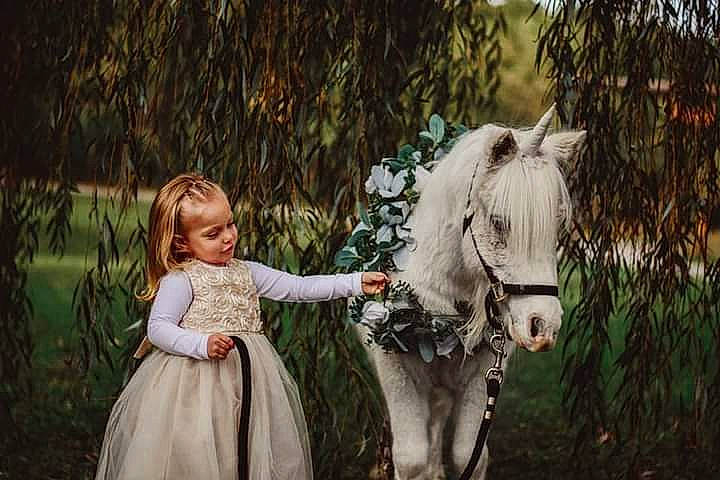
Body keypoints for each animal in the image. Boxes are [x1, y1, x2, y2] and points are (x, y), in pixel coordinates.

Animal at [356, 106, 586, 479]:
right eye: (499, 221)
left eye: (558, 223)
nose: (542, 326)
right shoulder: (396, 370)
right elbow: (411, 458)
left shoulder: (483, 373)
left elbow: (468, 456)